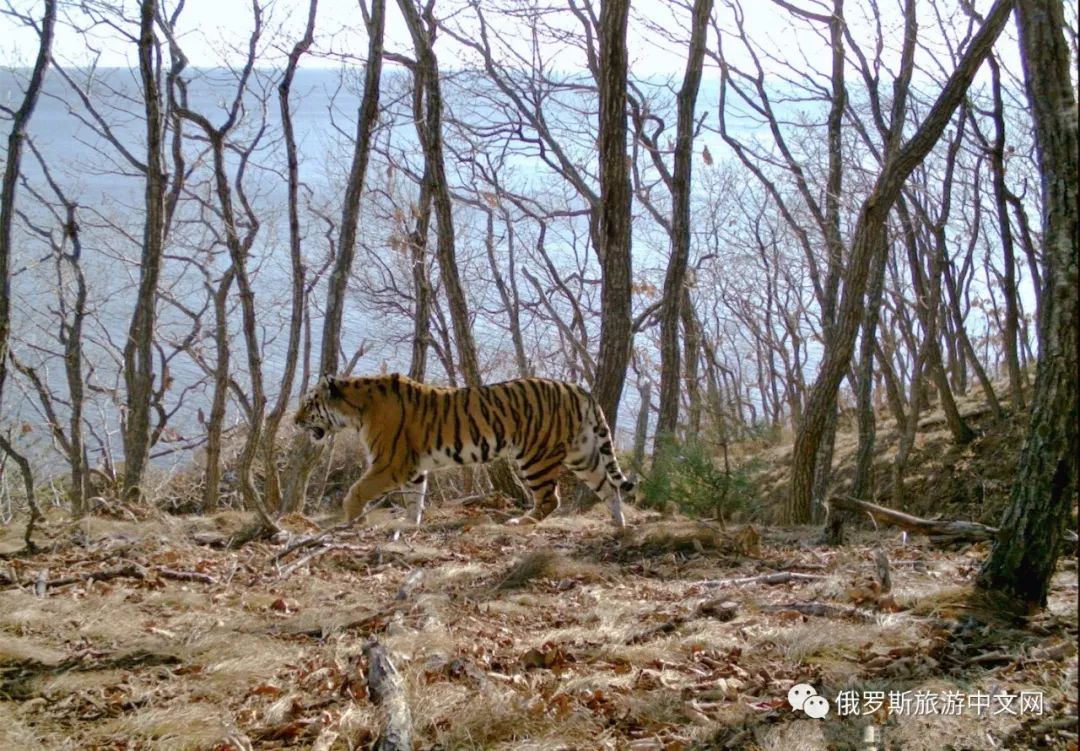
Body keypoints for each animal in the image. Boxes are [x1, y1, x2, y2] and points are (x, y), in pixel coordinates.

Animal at [295, 373, 630, 529]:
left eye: (309, 403)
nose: (295, 421)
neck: (356, 411)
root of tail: (579, 389)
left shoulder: (389, 463)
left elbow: (356, 491)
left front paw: (351, 522)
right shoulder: (413, 468)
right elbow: (415, 499)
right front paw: (410, 525)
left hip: (535, 455)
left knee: (550, 499)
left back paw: (520, 522)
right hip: (582, 453)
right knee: (609, 486)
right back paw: (618, 523)